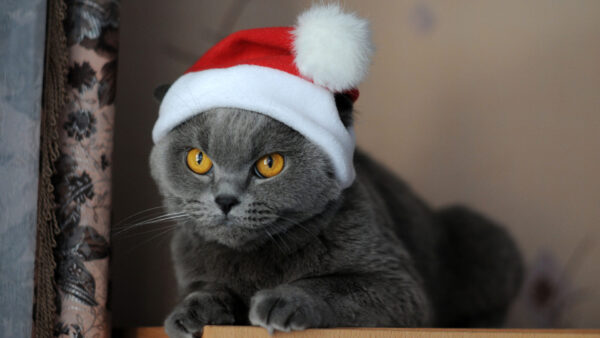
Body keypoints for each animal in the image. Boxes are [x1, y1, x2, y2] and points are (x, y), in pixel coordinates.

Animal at [150, 92, 524, 338]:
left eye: (270, 164)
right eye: (198, 159)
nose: (226, 199)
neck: (255, 262)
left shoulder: (399, 287)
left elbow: (332, 285)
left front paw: (282, 299)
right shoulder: (191, 265)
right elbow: (206, 288)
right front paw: (189, 313)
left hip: (482, 236)